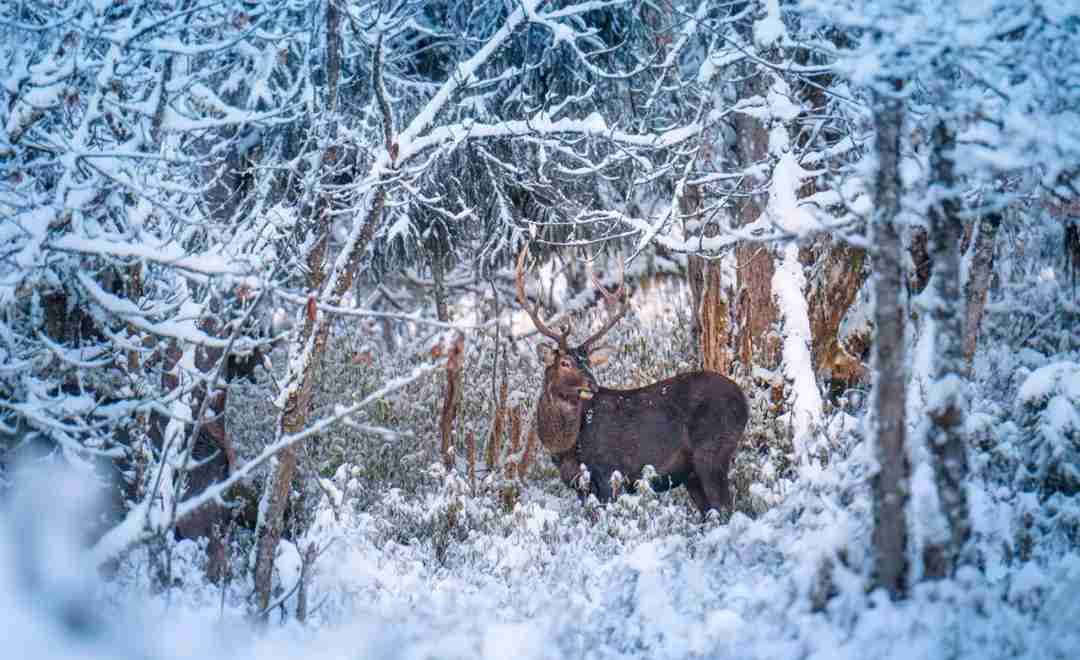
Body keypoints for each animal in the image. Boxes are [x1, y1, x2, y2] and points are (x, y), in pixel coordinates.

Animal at [518, 248, 747, 516]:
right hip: (692, 474)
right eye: (565, 362)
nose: (592, 385)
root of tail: (744, 402)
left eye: (589, 362)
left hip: (712, 452)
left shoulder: (608, 472)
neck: (564, 446)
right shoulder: (579, 485)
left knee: (726, 507)